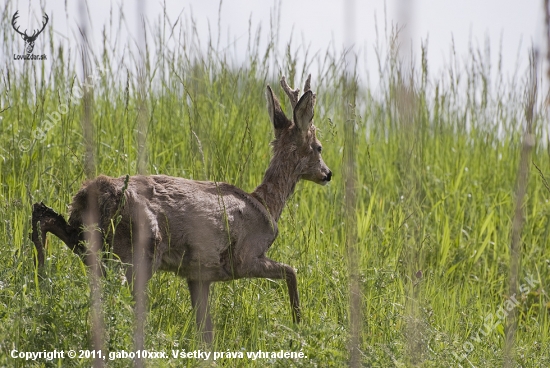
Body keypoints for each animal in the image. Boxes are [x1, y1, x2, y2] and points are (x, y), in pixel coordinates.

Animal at [31, 74, 332, 342]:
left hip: (88, 237)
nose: (328, 174)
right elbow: (292, 272)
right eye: (319, 147)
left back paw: (41, 277)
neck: (266, 205)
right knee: (117, 296)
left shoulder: (199, 275)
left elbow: (206, 332)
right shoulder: (245, 258)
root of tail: (95, 192)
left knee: (45, 216)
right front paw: (298, 327)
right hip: (136, 250)